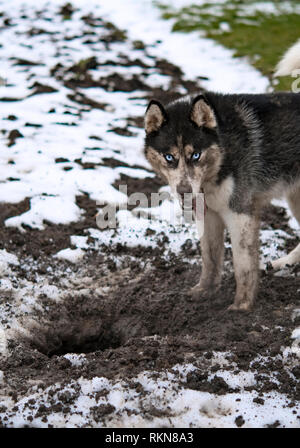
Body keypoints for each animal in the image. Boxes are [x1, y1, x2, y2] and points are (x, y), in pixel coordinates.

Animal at [143, 42, 300, 310]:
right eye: (169, 157)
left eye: (195, 155)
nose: (184, 191)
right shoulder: (209, 215)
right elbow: (210, 258)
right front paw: (204, 291)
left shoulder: (240, 214)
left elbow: (242, 266)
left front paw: (242, 306)